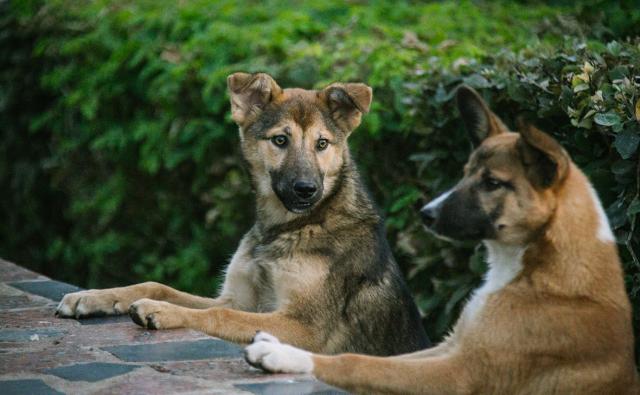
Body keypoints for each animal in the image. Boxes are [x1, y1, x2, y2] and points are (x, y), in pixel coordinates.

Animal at [56, 72, 430, 358]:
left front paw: (160, 311)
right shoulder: (239, 298)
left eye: (322, 144)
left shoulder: (304, 327)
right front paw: (94, 297)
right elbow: (158, 285)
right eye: (280, 140)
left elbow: (220, 316)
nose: (306, 190)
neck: (291, 227)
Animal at [245, 85, 640, 394]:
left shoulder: (460, 372)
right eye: (464, 174)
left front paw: (280, 354)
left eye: (492, 183)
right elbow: (377, 358)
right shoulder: (450, 346)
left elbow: (357, 362)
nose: (426, 214)